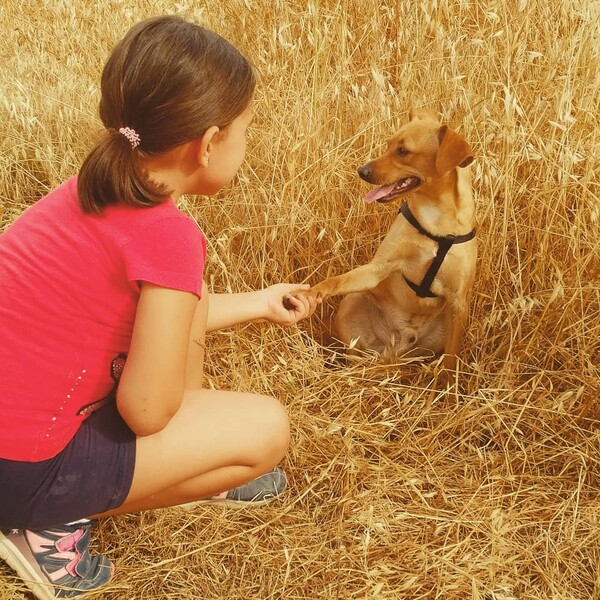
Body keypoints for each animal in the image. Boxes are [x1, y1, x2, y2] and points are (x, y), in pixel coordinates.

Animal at [312, 106, 476, 372]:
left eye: (403, 151)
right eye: (388, 145)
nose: (362, 171)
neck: (436, 220)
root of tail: (396, 346)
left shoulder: (458, 302)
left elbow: (451, 360)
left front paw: (447, 383)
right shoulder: (378, 268)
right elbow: (335, 281)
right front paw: (312, 292)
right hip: (351, 302)